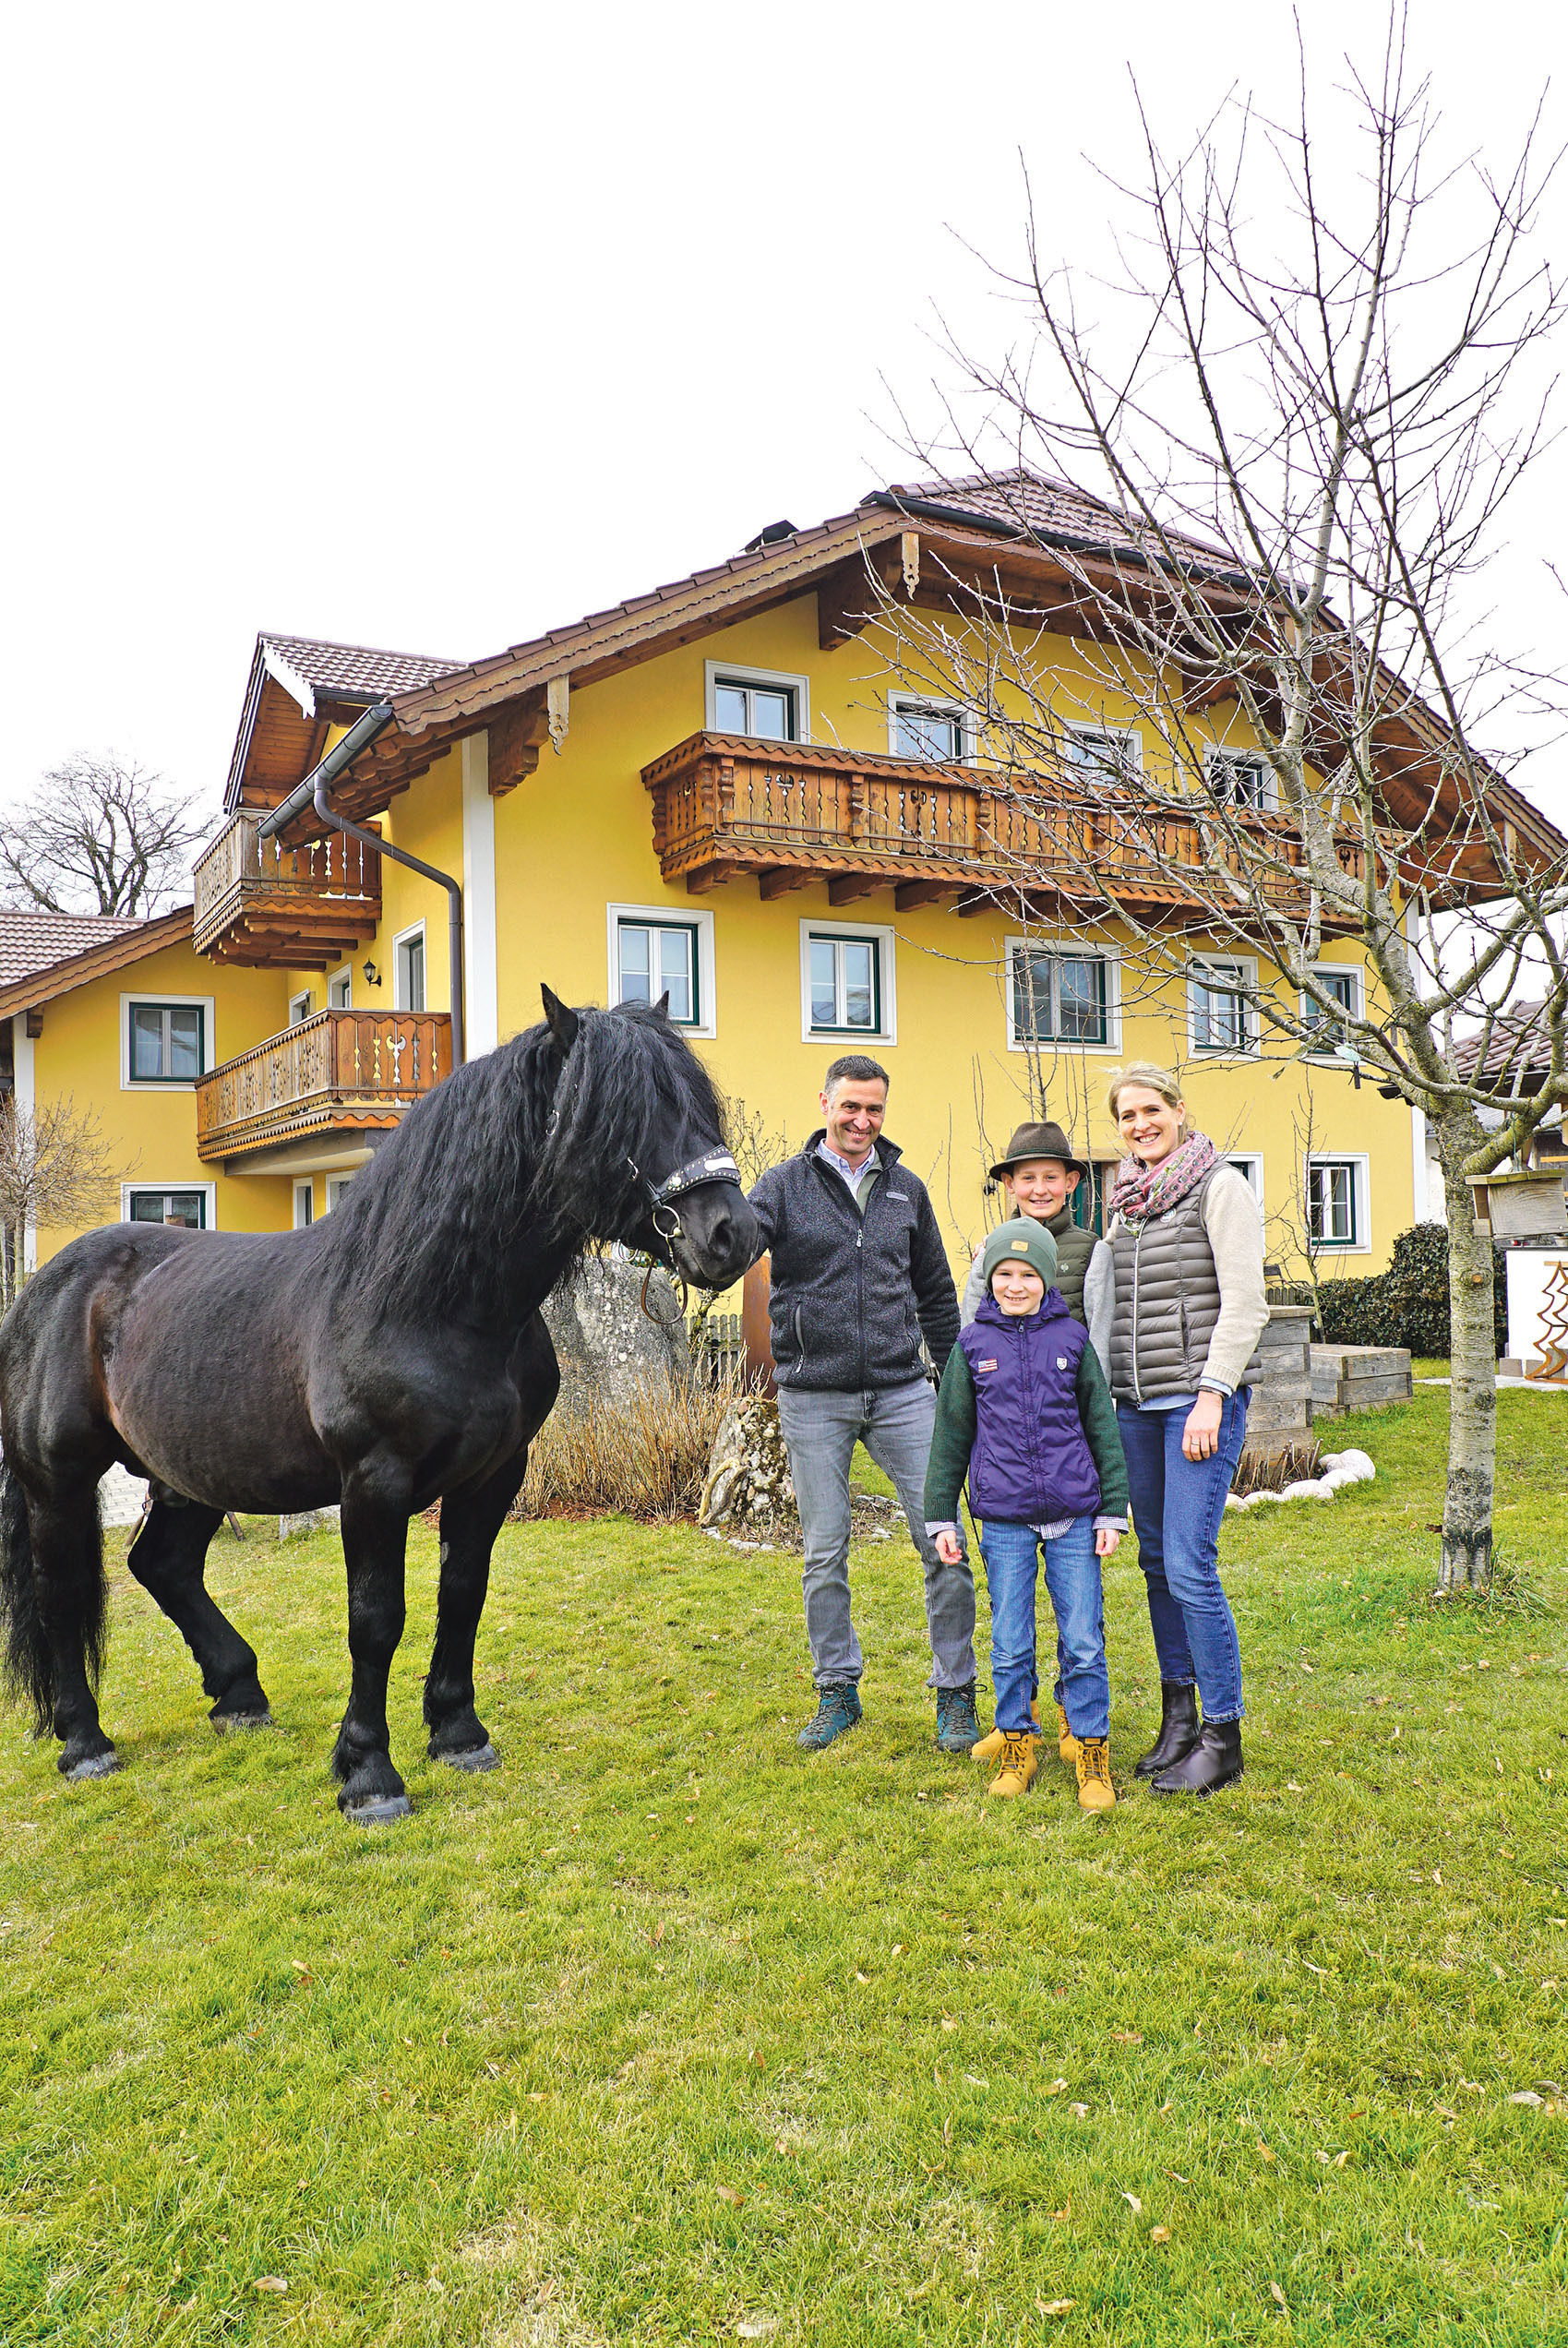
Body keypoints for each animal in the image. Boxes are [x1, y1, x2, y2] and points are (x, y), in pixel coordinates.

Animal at [0, 986, 750, 1812]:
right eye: (623, 1112)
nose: (732, 1234)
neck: (428, 1304)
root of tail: (47, 1285)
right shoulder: (374, 1481)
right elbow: (376, 1620)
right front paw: (368, 1772)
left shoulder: (495, 1475)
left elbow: (462, 1594)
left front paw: (458, 1735)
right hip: (58, 1479)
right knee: (61, 1590)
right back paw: (84, 1741)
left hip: (191, 1472)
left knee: (162, 1565)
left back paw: (239, 1697)